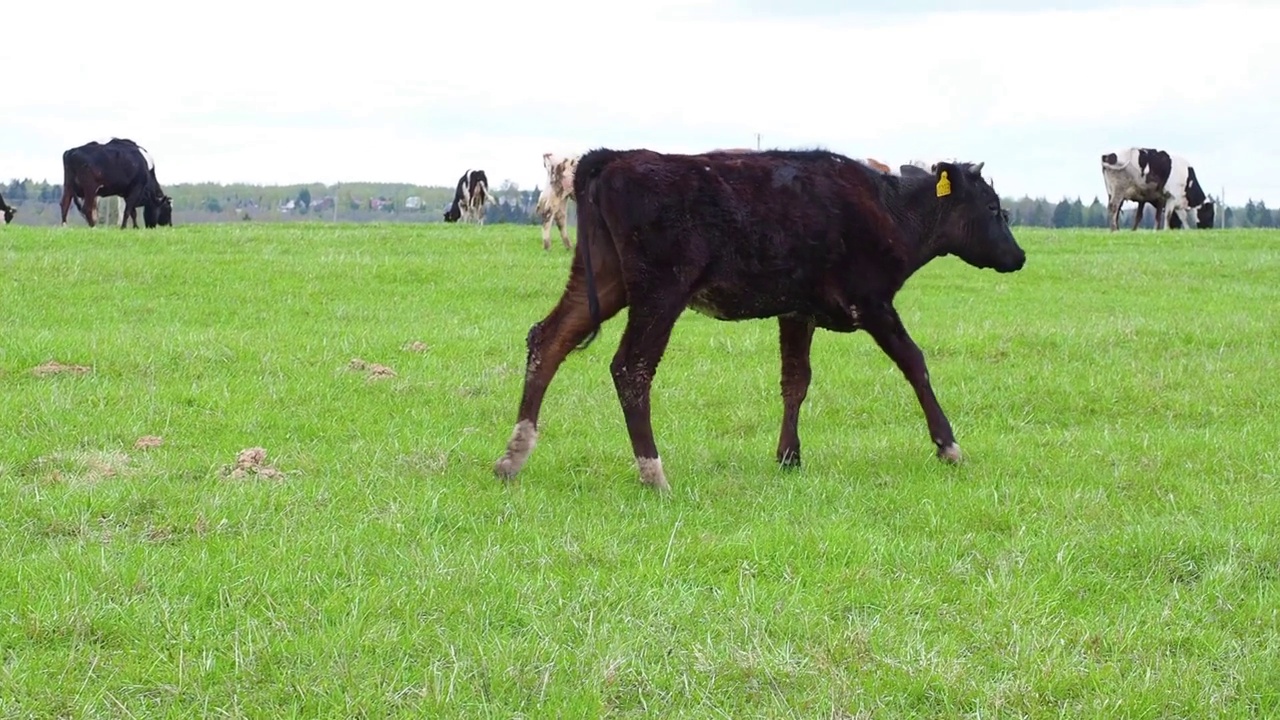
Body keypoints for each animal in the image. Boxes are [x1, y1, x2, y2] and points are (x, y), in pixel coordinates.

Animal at [491, 148, 1029, 489]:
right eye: (994, 207)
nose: (1019, 256)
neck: (890, 209)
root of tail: (612, 157)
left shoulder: (797, 309)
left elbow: (796, 380)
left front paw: (789, 455)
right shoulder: (872, 302)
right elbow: (915, 362)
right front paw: (948, 445)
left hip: (603, 279)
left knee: (548, 340)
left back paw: (514, 455)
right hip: (659, 290)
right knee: (631, 367)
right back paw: (653, 471)